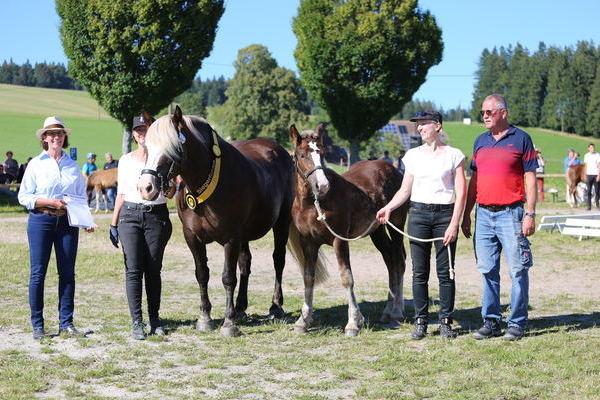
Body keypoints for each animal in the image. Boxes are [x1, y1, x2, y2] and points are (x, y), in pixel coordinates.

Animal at [137, 106, 296, 338]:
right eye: (147, 147)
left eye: (173, 148)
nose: (146, 187)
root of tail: (279, 151)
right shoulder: (192, 237)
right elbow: (202, 274)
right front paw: (205, 318)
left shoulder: (231, 238)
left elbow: (228, 277)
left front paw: (229, 324)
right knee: (245, 262)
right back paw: (240, 307)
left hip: (282, 222)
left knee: (278, 260)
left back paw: (275, 306)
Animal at [286, 124, 408, 334]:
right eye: (301, 155)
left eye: (322, 153)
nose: (322, 185)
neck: (313, 204)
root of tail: (394, 170)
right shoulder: (307, 242)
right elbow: (308, 277)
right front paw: (303, 320)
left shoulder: (339, 240)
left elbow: (346, 278)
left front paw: (353, 322)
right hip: (377, 231)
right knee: (390, 260)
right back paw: (387, 311)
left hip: (396, 224)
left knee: (399, 261)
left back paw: (397, 311)